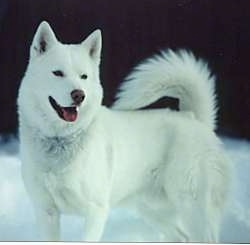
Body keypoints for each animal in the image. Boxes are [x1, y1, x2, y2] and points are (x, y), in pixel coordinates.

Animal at [17, 21, 232, 243]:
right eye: (57, 73)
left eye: (84, 76)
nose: (79, 95)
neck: (60, 139)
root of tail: (195, 118)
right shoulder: (46, 212)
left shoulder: (95, 211)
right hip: (152, 210)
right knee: (182, 237)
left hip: (192, 208)